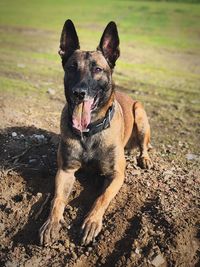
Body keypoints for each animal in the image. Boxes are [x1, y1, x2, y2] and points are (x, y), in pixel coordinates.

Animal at [39, 19, 152, 247]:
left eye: (98, 69)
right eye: (72, 68)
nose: (79, 93)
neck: (89, 132)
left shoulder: (116, 175)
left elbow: (101, 198)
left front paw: (91, 222)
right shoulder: (65, 170)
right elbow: (57, 199)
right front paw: (51, 223)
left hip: (140, 112)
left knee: (144, 146)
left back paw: (144, 158)